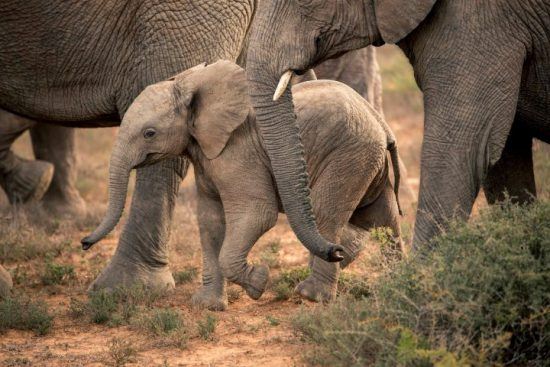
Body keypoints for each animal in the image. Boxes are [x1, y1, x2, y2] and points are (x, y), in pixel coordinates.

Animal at [84, 60, 404, 310]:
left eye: (149, 133)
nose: (85, 243)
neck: (191, 83)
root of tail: (380, 121)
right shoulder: (208, 159)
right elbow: (210, 222)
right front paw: (208, 306)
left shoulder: (239, 154)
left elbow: (258, 214)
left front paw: (259, 282)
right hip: (366, 159)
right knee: (382, 219)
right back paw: (395, 281)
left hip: (349, 154)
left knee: (328, 213)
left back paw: (311, 295)